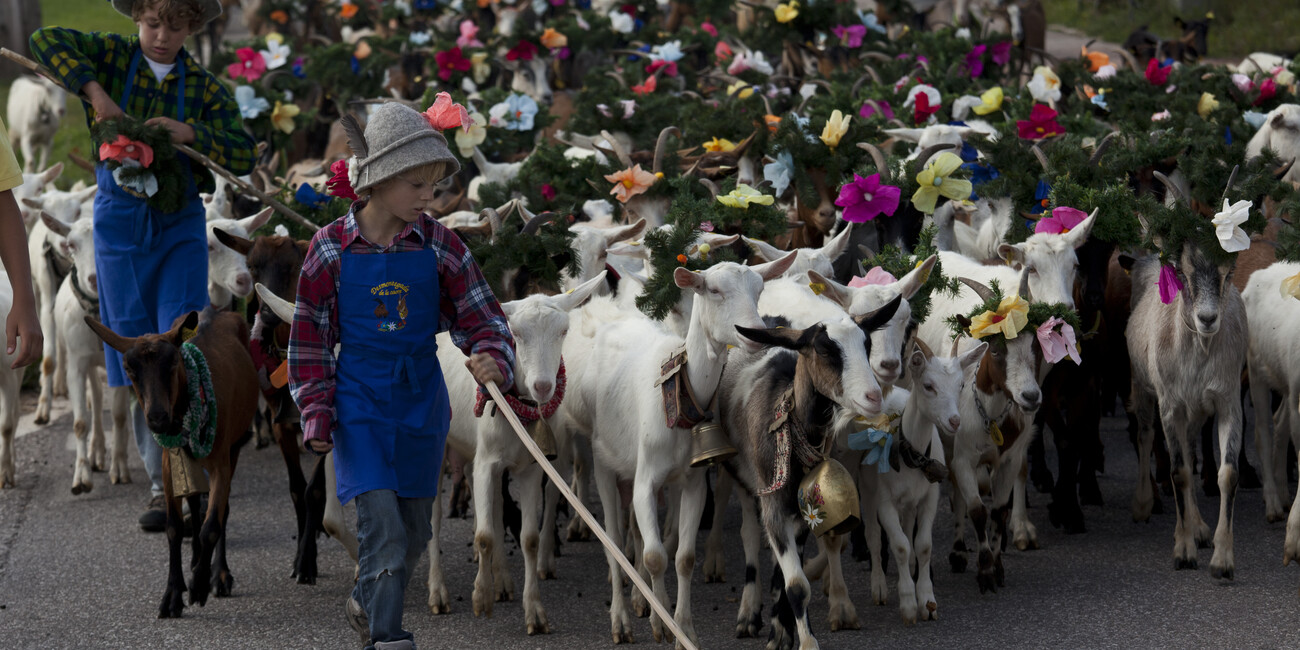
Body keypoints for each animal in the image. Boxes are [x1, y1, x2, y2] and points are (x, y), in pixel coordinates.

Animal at [85, 309, 256, 618]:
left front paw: (201, 584)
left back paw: (217, 573)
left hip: (234, 445)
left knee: (220, 511)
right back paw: (197, 558)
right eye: (129, 369)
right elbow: (174, 527)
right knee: (196, 503)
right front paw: (173, 594)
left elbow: (213, 523)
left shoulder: (222, 460)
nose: (157, 418)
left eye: (174, 361)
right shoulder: (169, 463)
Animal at [863, 338, 982, 621]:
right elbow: (900, 546)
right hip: (866, 486)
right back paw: (879, 587)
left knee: (908, 528)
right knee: (873, 535)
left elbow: (923, 545)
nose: (954, 421)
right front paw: (908, 603)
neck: (911, 454)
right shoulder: (885, 501)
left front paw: (927, 601)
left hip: (910, 501)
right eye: (928, 386)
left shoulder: (930, 497)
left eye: (961, 385)